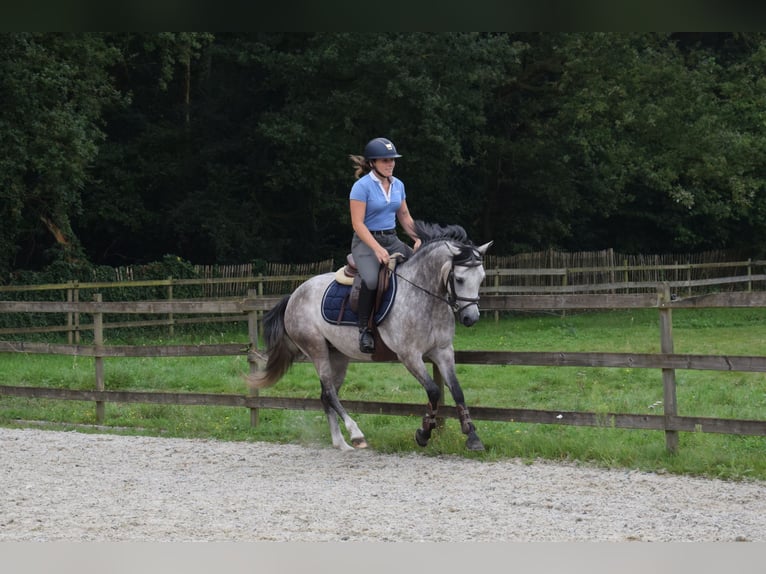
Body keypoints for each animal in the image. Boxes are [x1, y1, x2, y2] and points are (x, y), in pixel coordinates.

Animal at [249, 223, 496, 452]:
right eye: (460, 279)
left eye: (482, 278)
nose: (471, 318)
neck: (424, 295)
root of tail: (295, 294)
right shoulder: (409, 355)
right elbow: (434, 391)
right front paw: (423, 433)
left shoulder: (443, 351)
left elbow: (457, 391)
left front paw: (472, 437)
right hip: (316, 349)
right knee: (329, 391)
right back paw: (355, 434)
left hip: (337, 355)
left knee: (326, 395)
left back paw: (340, 443)